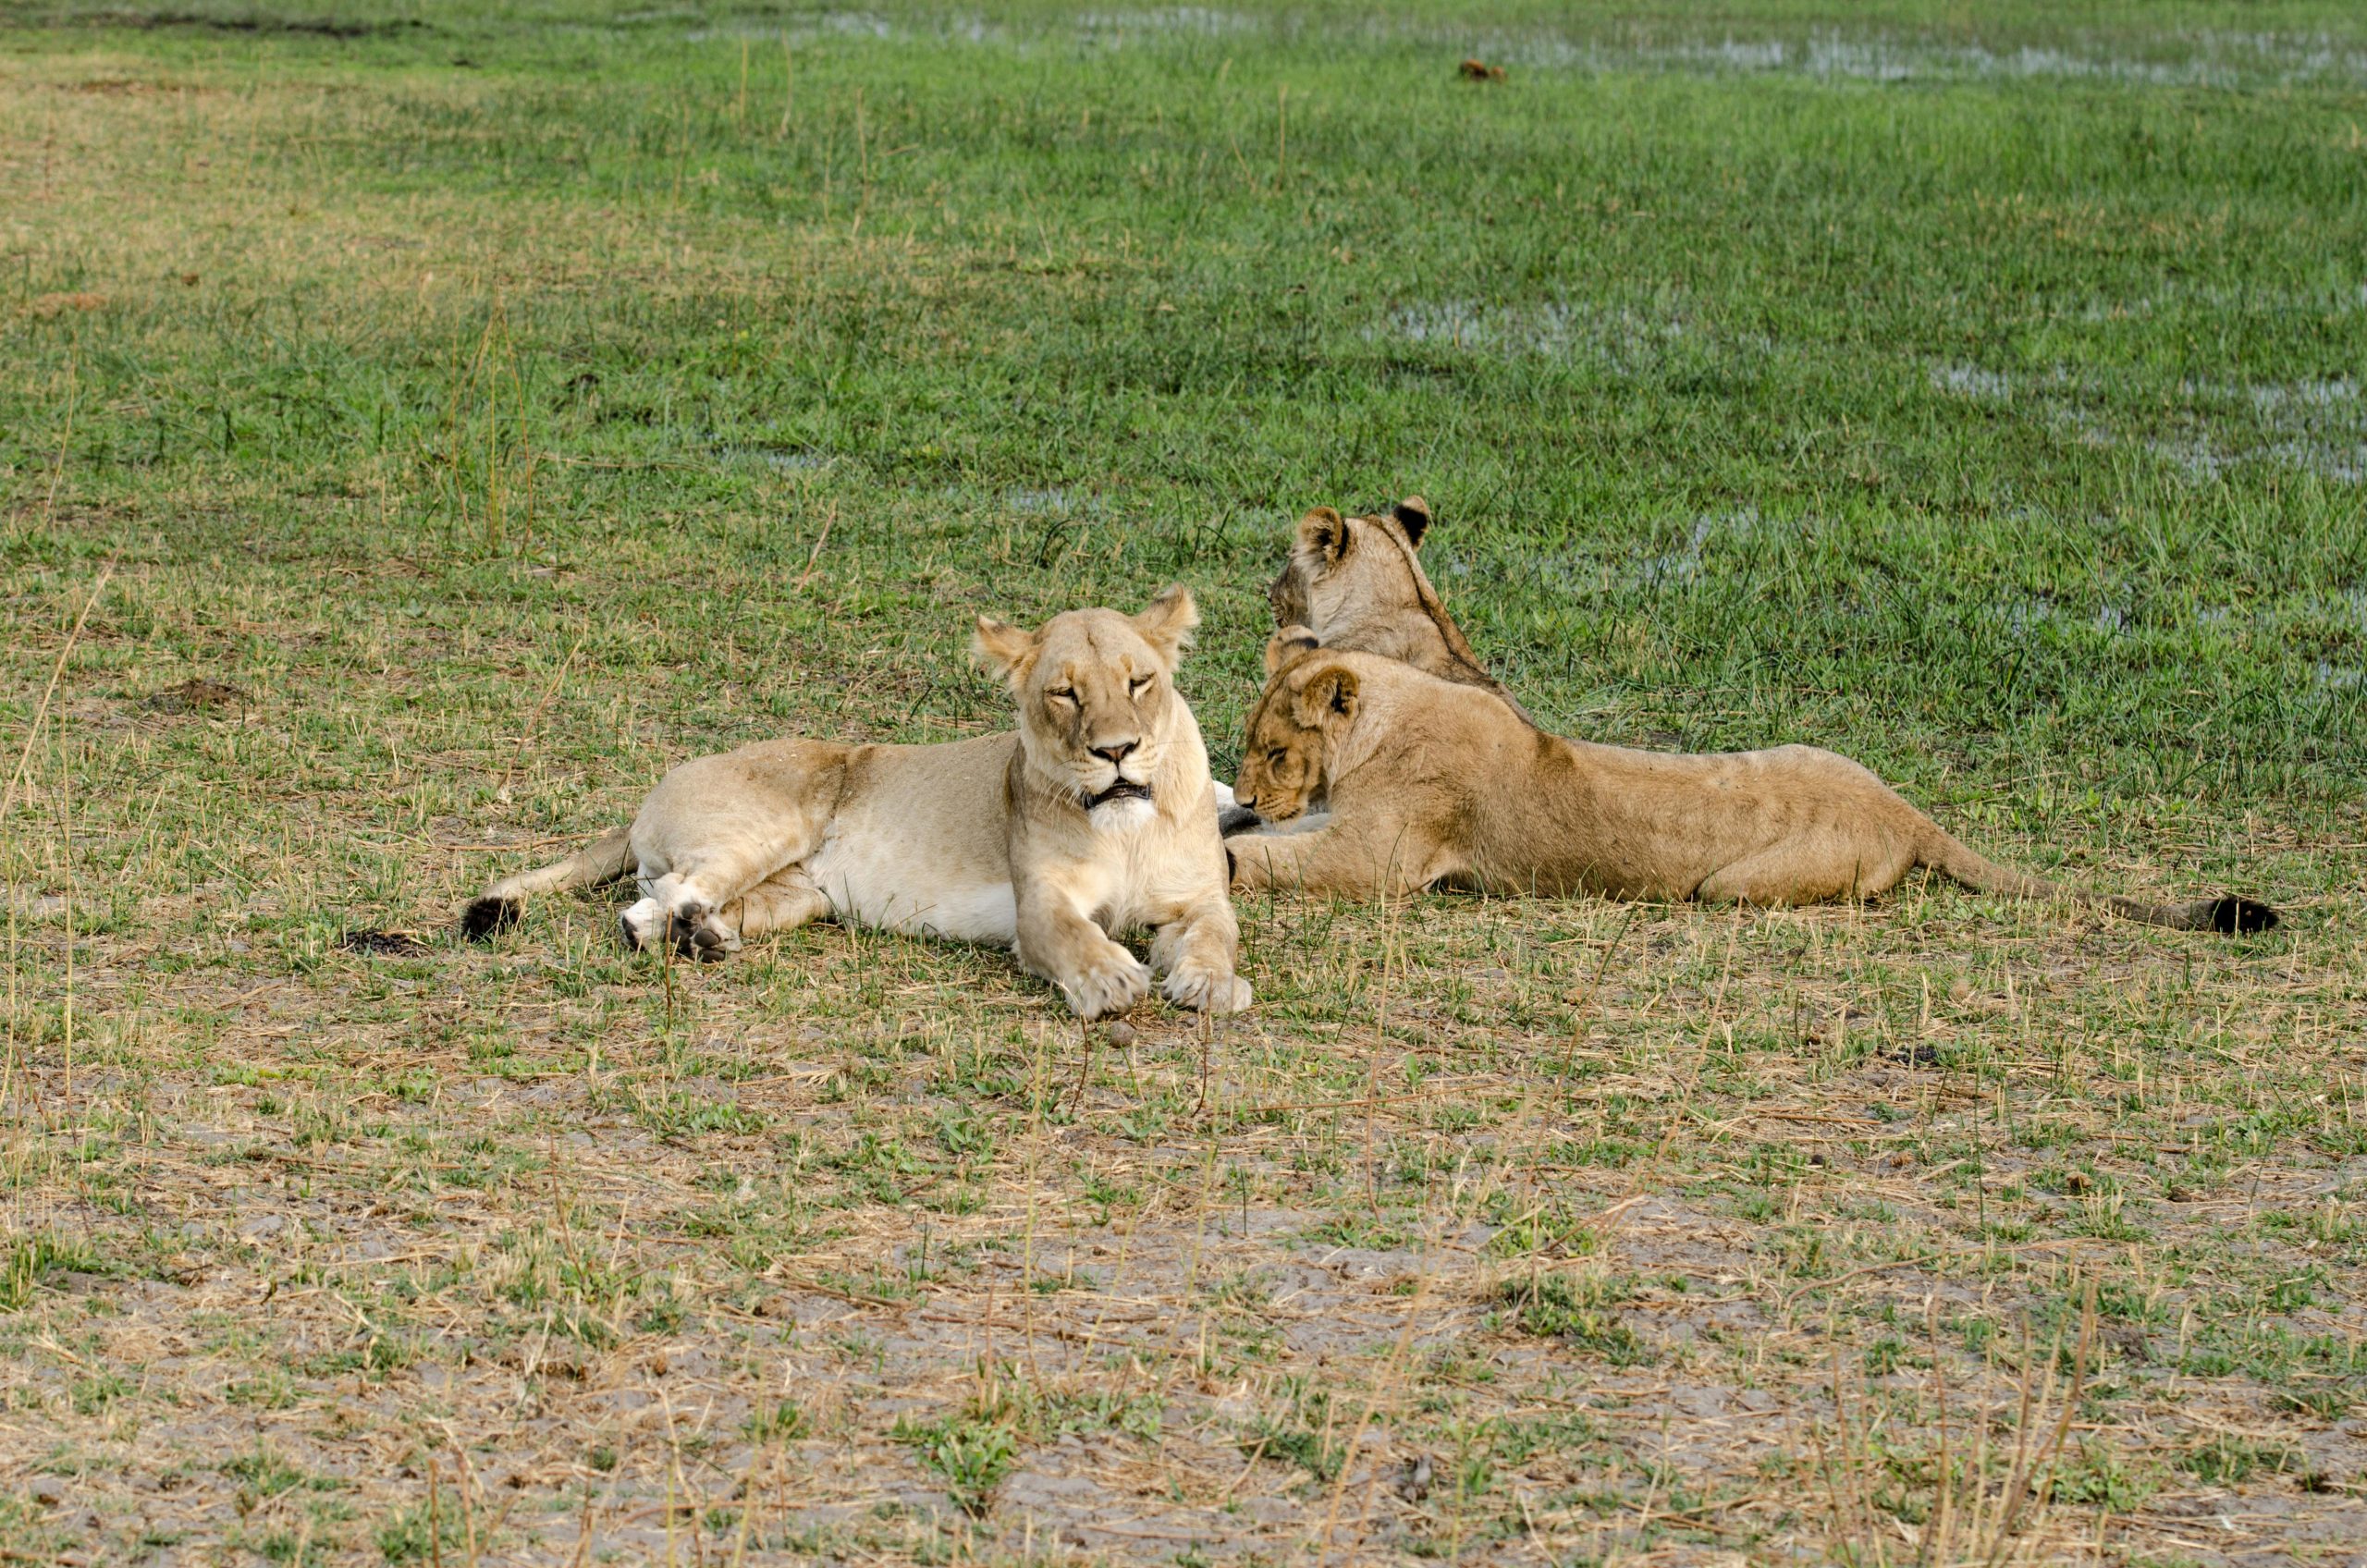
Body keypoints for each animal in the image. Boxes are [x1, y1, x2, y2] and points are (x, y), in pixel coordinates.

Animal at [462, 589, 1252, 1018]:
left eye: (1140, 680)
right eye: (1064, 693)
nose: (1116, 751)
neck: (1123, 826)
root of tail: (649, 796)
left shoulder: (1200, 897)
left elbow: (1218, 934)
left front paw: (1211, 984)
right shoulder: (1039, 905)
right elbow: (1072, 937)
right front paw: (1111, 980)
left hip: (797, 895)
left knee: (649, 906)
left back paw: (701, 937)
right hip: (773, 823)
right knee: (676, 888)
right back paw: (694, 933)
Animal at [1223, 630, 2277, 934]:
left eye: (1275, 751)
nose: (1263, 790)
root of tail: (1901, 806)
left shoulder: (1382, 858)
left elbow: (1273, 862)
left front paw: (1230, 850)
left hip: (1730, 885)